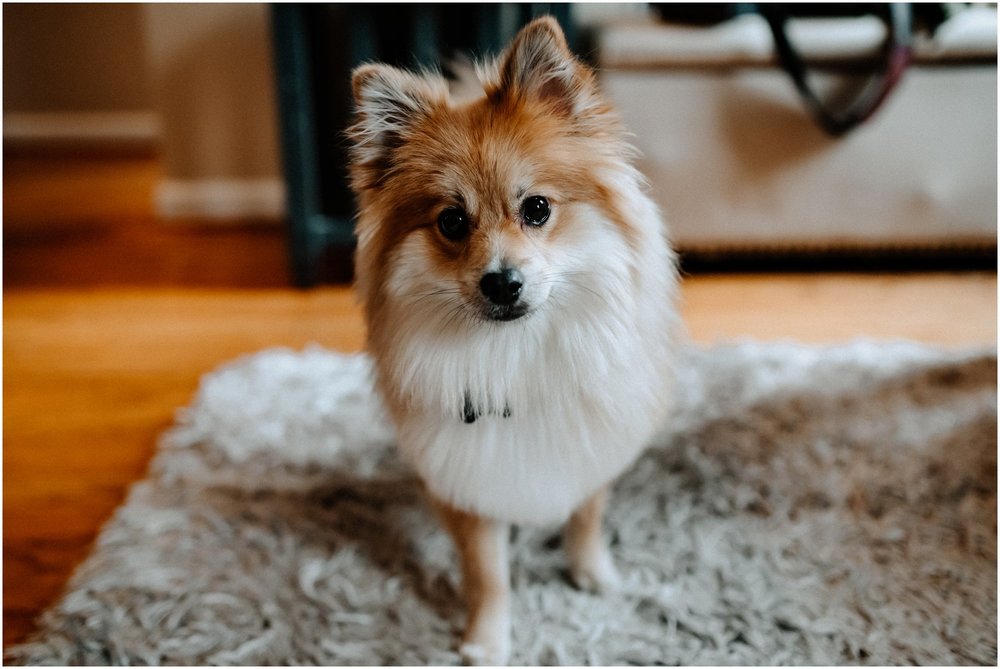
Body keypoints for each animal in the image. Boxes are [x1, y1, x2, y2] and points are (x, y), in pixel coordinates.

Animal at [346, 17, 680, 668]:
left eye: (537, 208)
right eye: (452, 222)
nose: (502, 281)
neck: (515, 357)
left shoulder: (591, 446)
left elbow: (586, 517)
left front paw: (593, 574)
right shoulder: (469, 483)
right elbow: (488, 574)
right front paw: (487, 639)